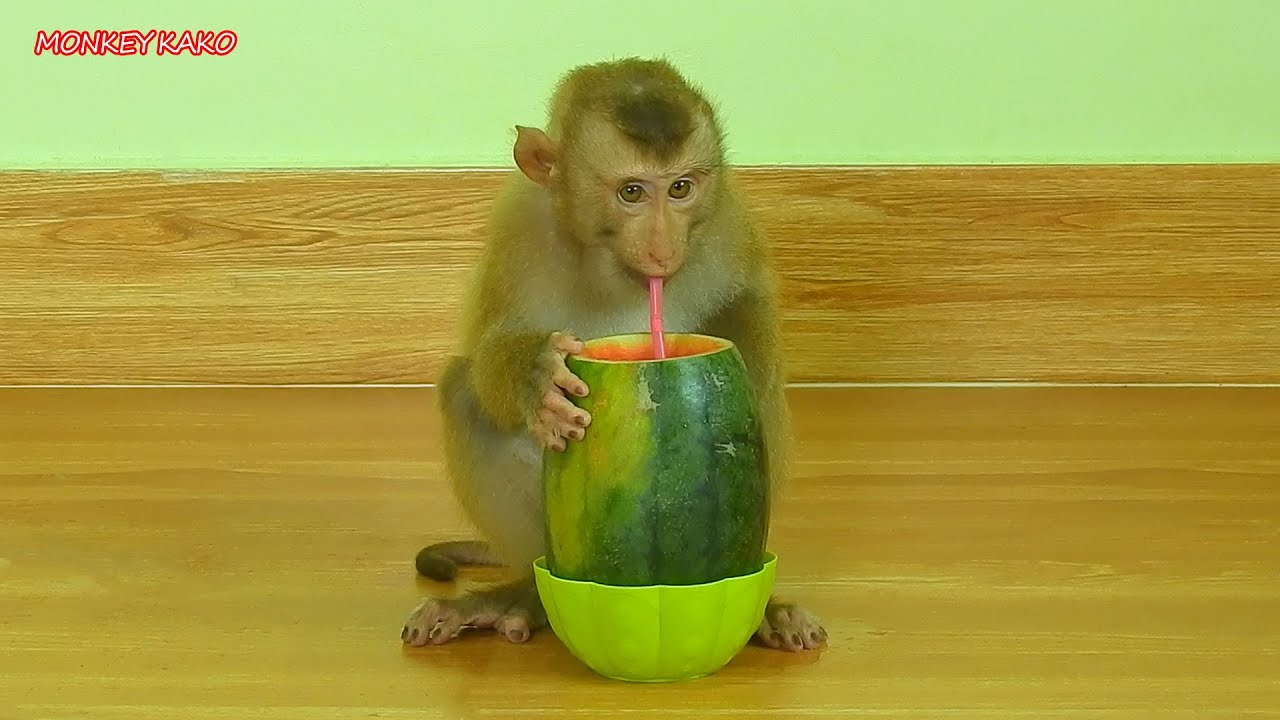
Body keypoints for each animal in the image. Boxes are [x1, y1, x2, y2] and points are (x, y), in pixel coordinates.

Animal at [400, 57, 827, 653]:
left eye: (680, 188)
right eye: (631, 192)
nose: (664, 249)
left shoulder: (728, 220)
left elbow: (750, 301)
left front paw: (743, 364)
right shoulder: (517, 230)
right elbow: (487, 354)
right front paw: (538, 379)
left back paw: (770, 612)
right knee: (463, 392)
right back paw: (520, 599)